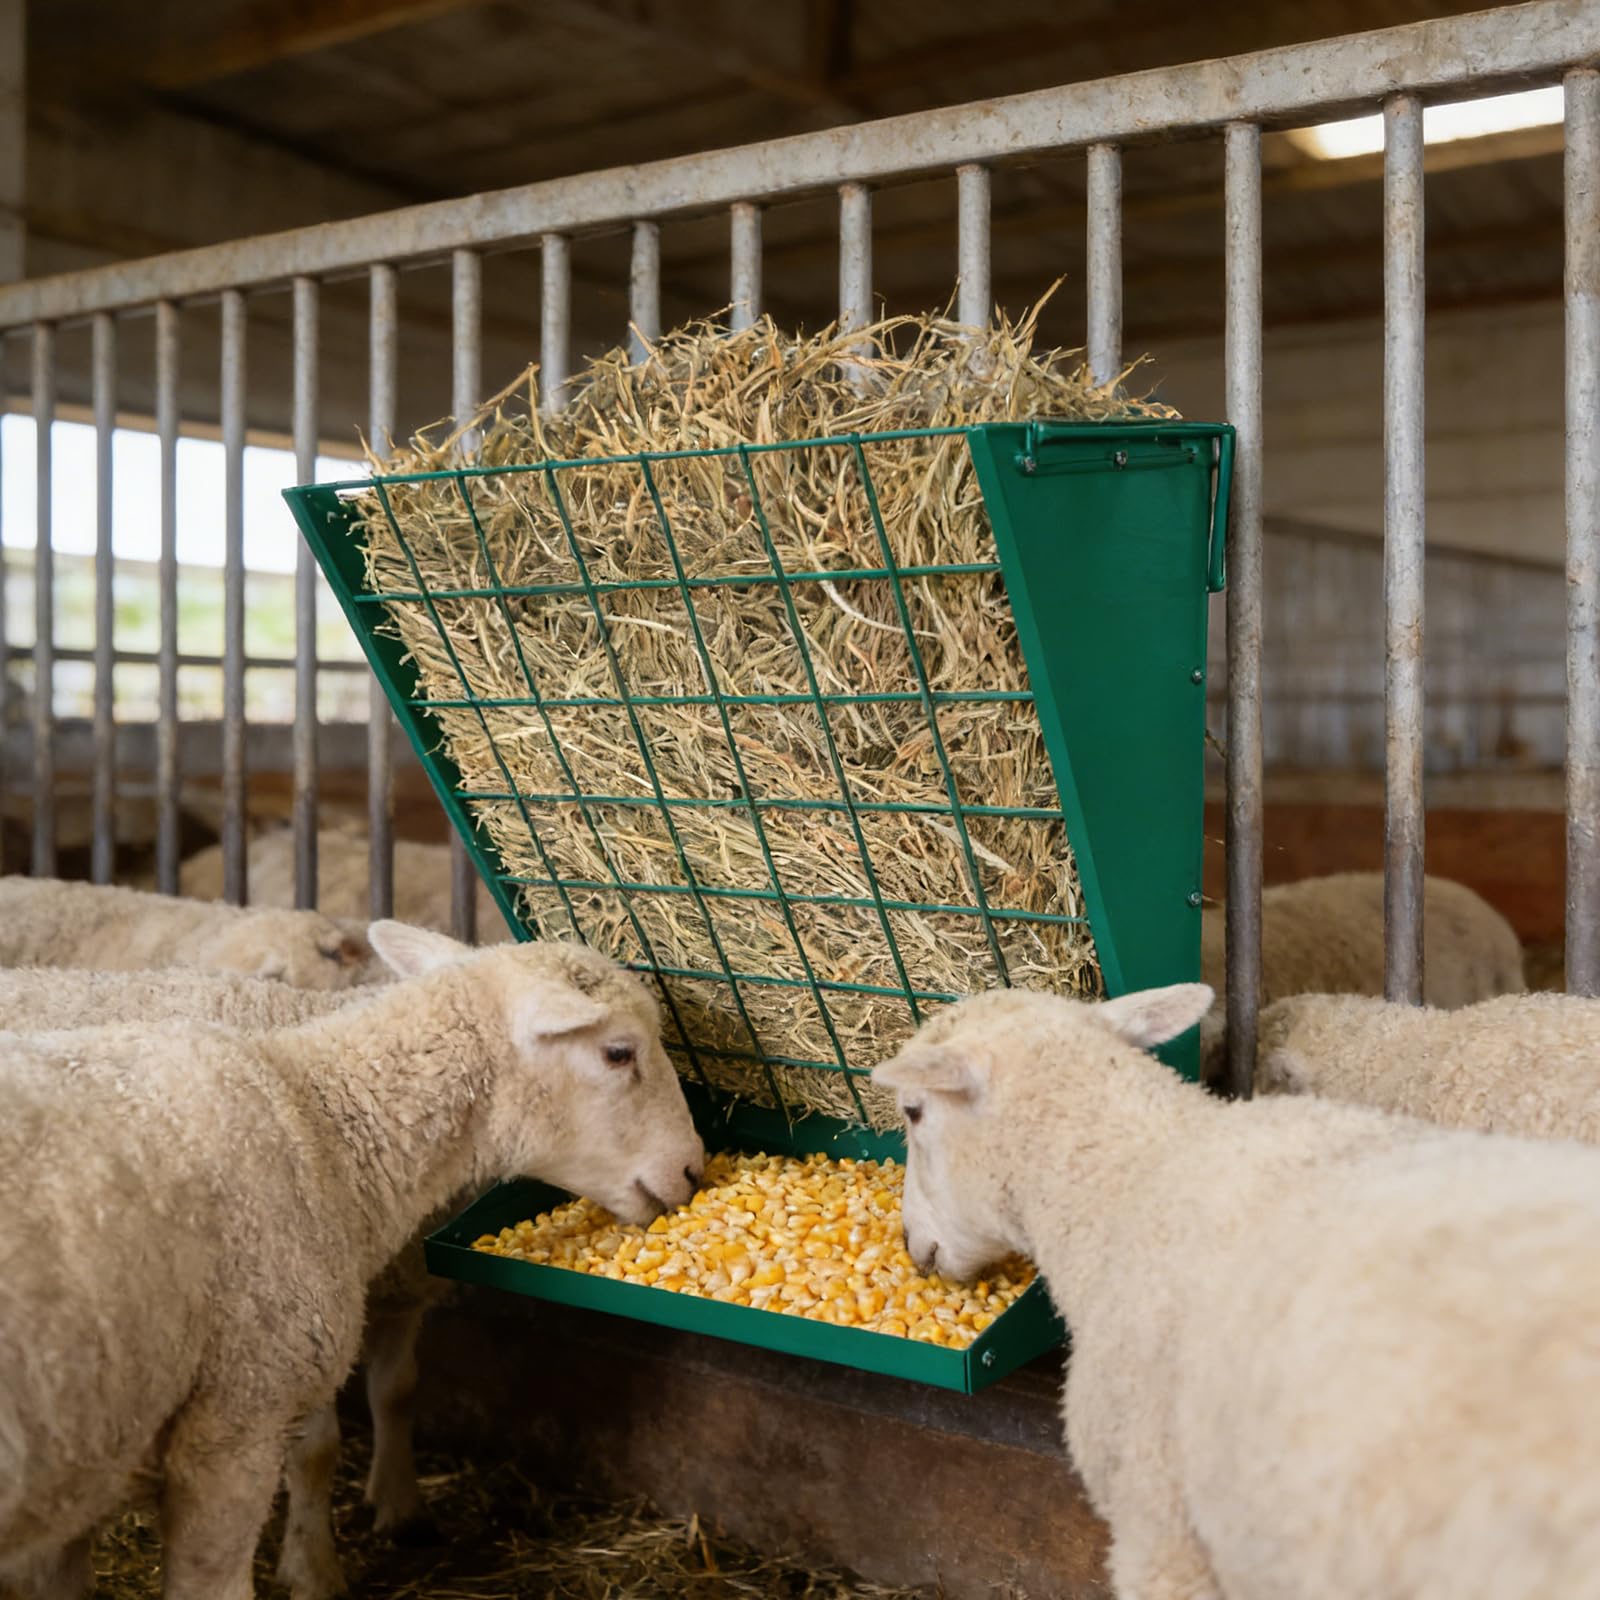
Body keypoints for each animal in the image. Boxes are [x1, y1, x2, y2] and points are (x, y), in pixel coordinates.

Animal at [0, 923, 704, 1600]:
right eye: (619, 1052)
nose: (694, 1170)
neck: (321, 1116)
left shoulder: (87, 1473)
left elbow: (396, 1390)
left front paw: (398, 1510)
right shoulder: (239, 1418)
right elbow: (295, 1477)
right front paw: (314, 1572)